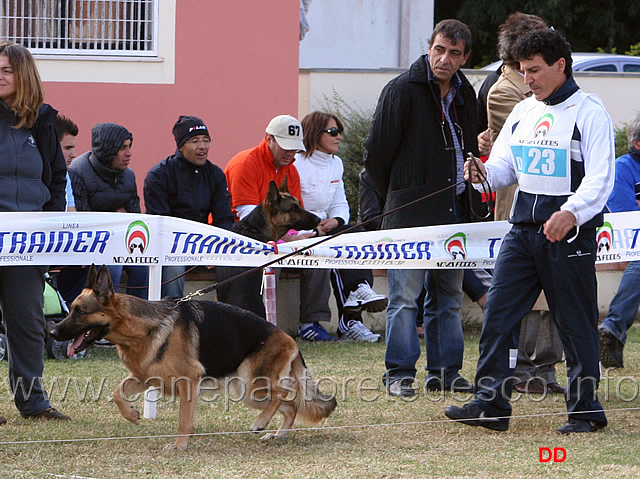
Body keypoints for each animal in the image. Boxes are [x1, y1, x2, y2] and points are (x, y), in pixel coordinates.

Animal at [50, 266, 336, 450]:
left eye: (79, 312)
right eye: (71, 310)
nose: (52, 332)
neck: (143, 328)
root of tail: (288, 338)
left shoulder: (188, 381)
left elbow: (184, 420)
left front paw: (179, 446)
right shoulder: (145, 378)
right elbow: (118, 392)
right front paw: (131, 415)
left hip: (251, 382)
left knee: (283, 395)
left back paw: (261, 423)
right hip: (246, 392)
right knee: (291, 405)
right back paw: (277, 434)